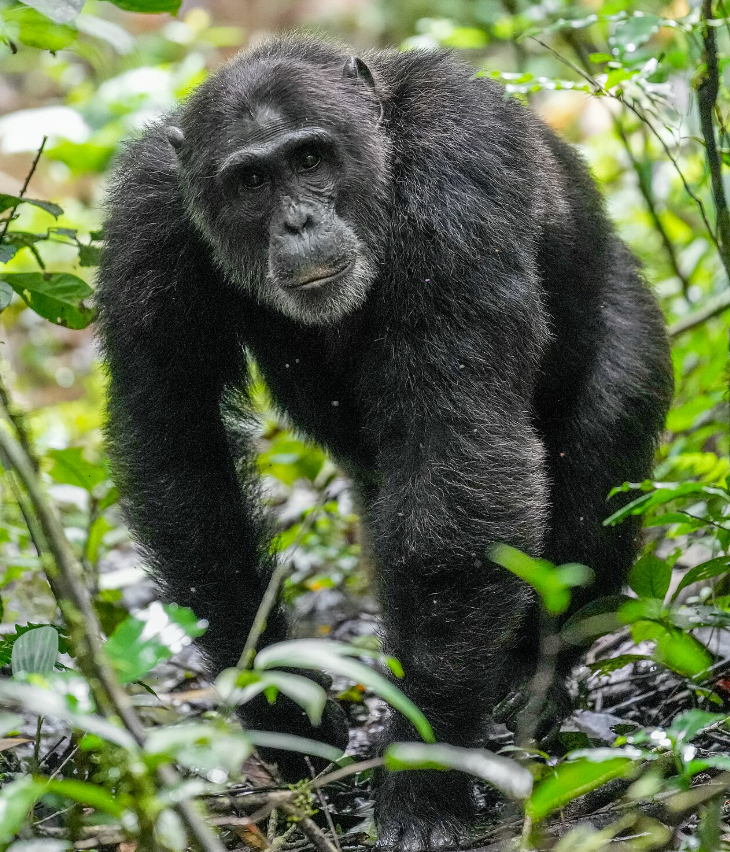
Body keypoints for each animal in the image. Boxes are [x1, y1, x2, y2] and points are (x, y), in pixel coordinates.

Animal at [96, 35, 673, 851]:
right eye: (251, 179)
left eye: (309, 159)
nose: (298, 221)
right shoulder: (146, 223)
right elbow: (182, 449)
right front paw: (286, 715)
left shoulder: (461, 174)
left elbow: (460, 451)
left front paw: (423, 782)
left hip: (631, 329)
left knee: (594, 487)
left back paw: (531, 682)